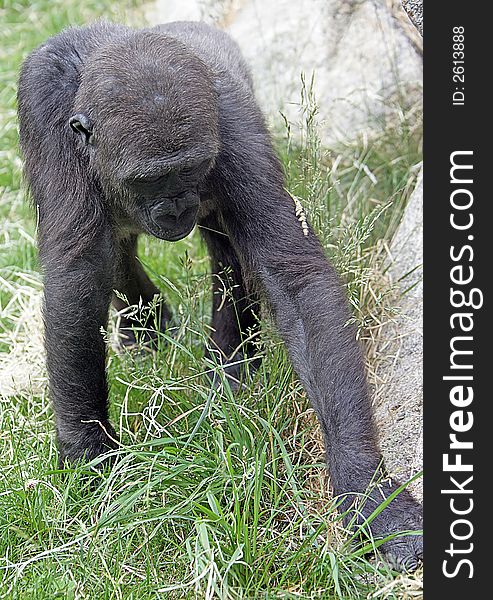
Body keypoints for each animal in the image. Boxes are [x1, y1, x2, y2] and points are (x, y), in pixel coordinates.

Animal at [17, 19, 420, 572]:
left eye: (186, 171)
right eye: (149, 180)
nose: (174, 207)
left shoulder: (231, 125)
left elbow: (293, 277)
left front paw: (367, 488)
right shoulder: (44, 109)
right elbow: (78, 277)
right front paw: (88, 449)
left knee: (225, 250)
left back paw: (229, 361)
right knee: (115, 248)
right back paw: (146, 323)